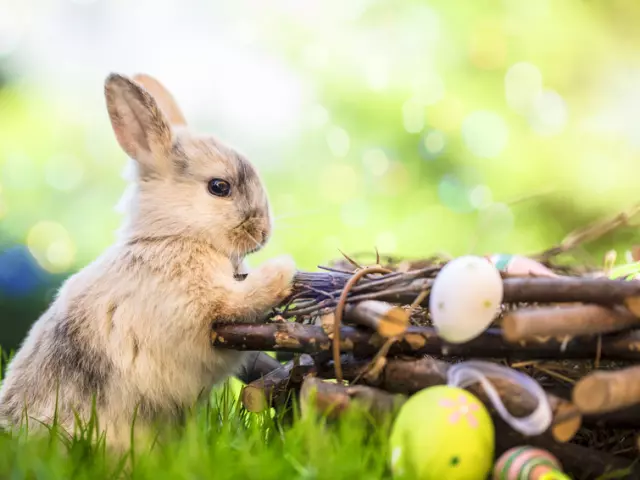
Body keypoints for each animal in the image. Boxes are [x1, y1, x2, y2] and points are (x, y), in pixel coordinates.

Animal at [0, 72, 296, 451]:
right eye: (219, 187)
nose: (263, 233)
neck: (171, 237)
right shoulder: (205, 307)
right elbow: (243, 300)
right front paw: (285, 269)